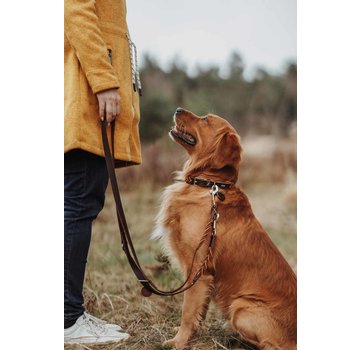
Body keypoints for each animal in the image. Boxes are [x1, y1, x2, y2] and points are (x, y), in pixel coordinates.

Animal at [153, 108, 296, 348]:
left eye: (205, 119)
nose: (178, 110)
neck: (209, 186)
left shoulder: (198, 271)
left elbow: (187, 311)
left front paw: (178, 342)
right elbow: (199, 311)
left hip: (241, 307)